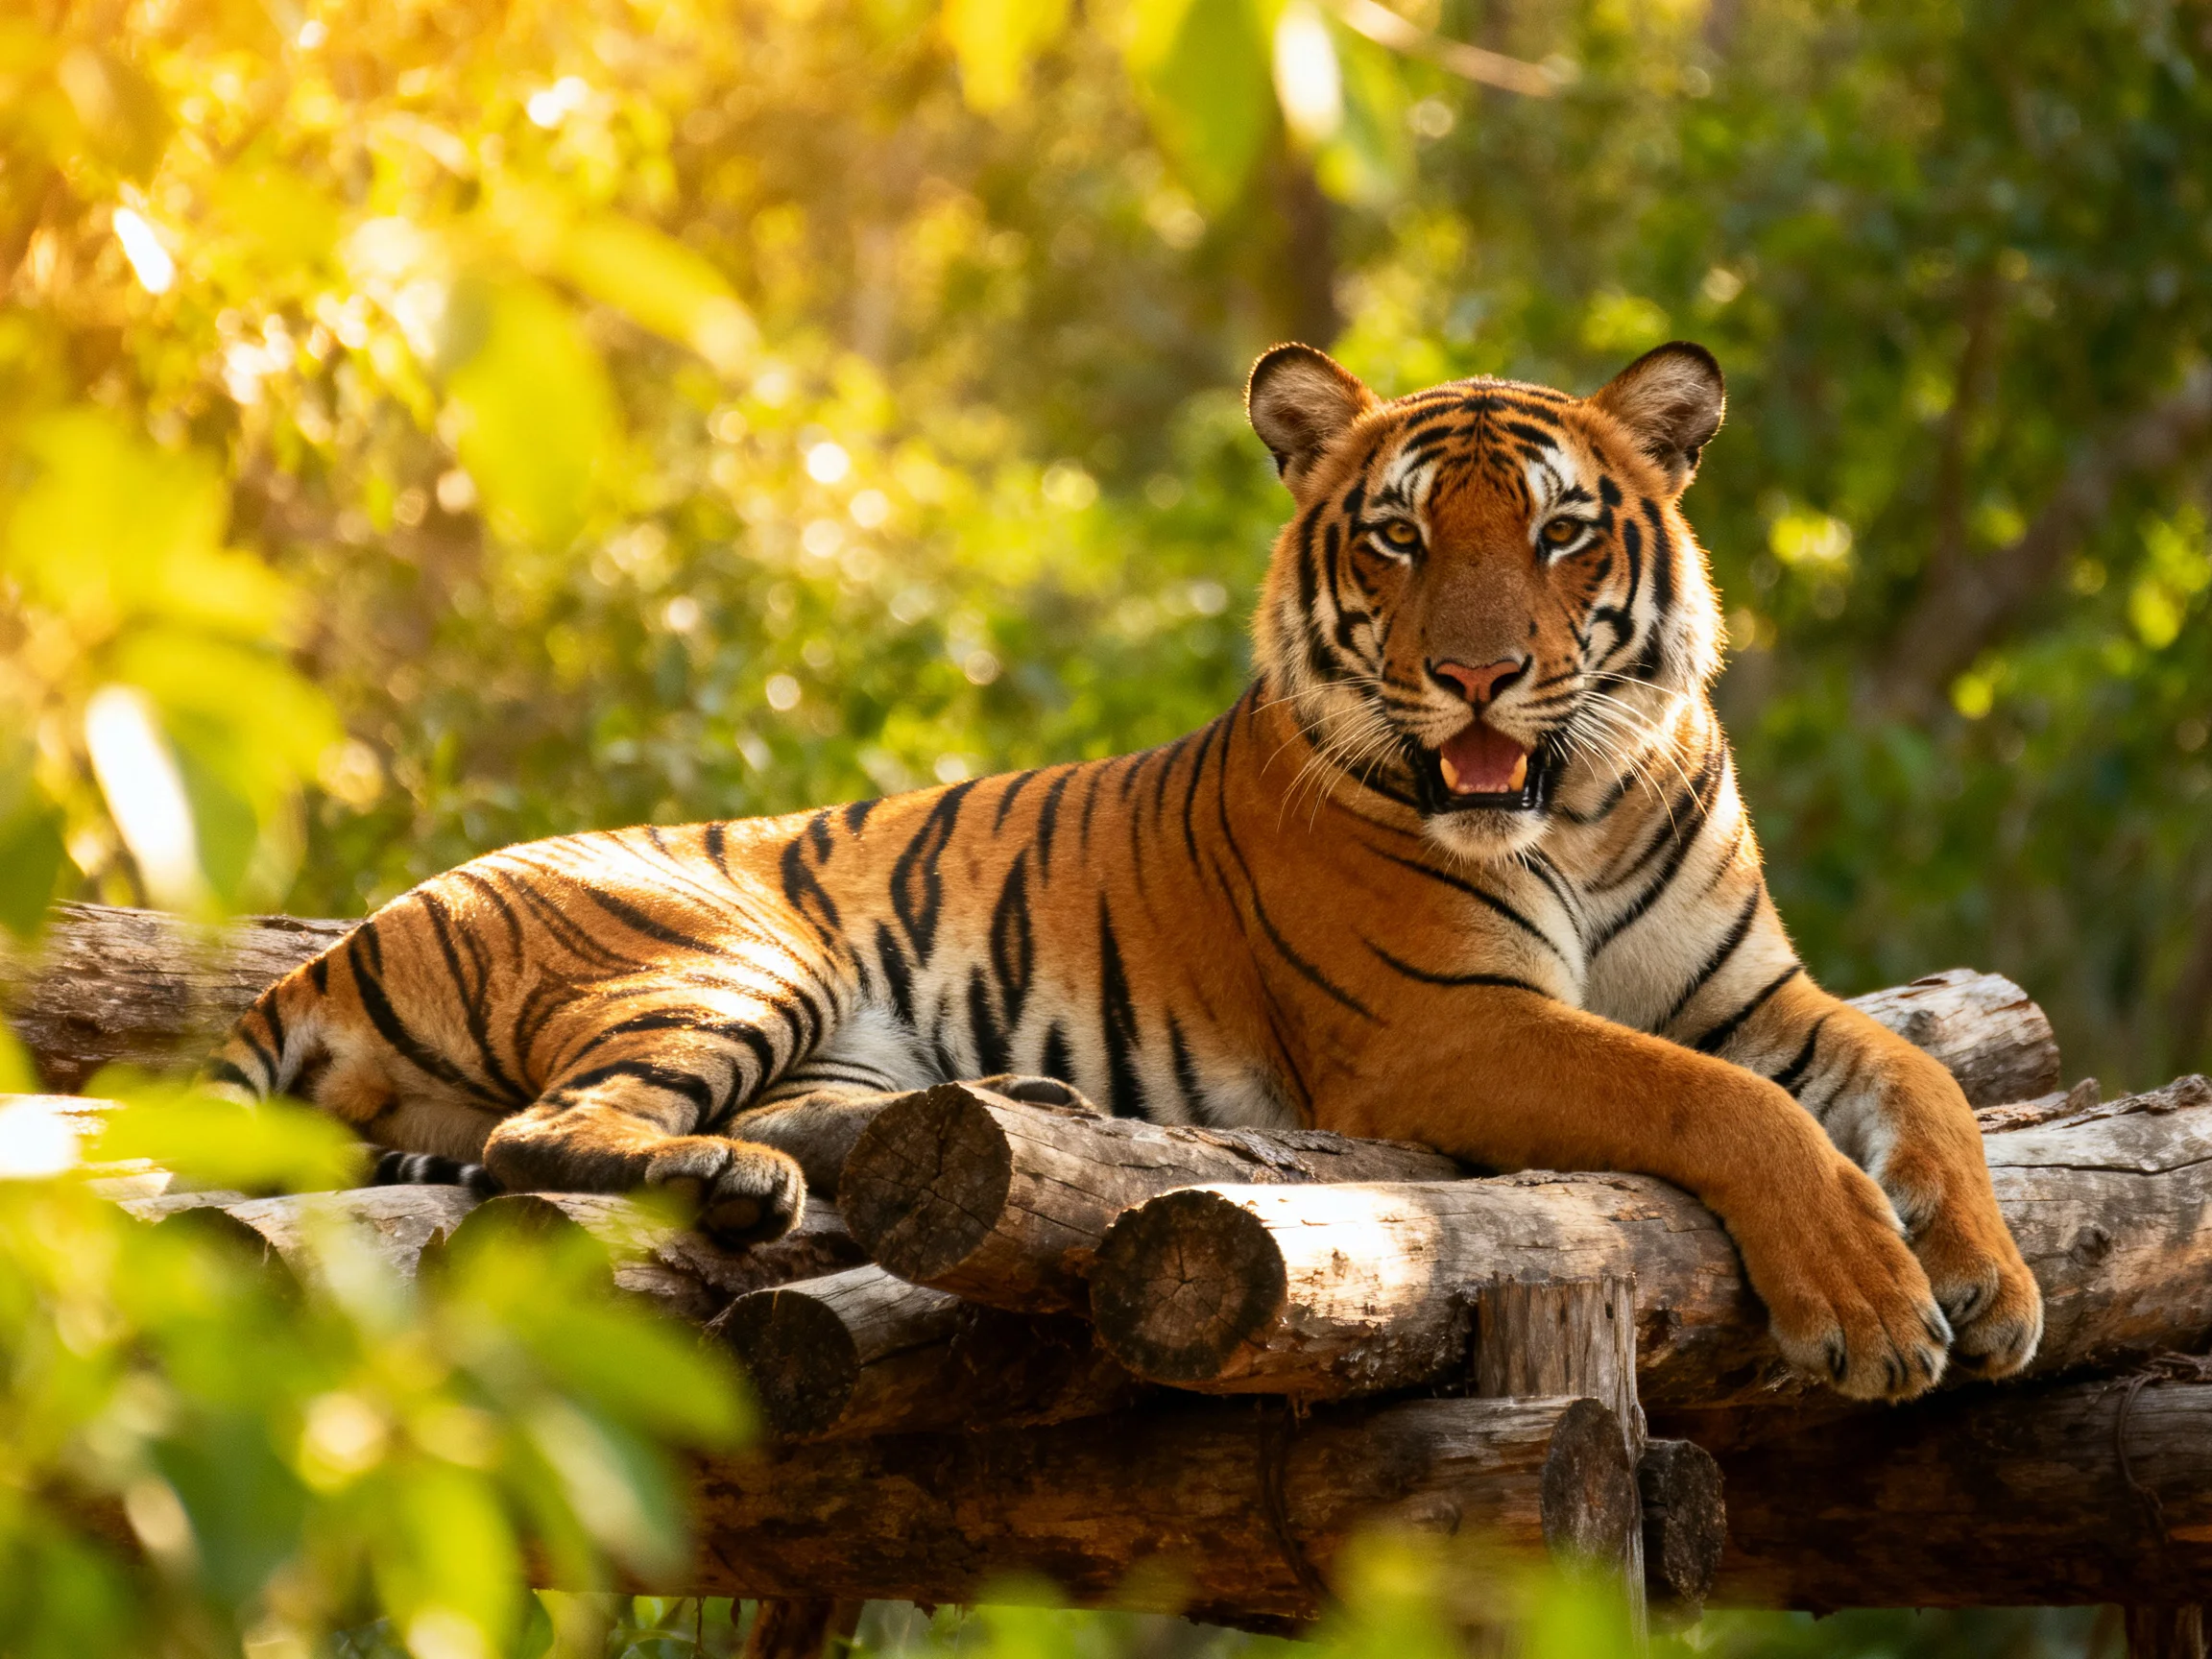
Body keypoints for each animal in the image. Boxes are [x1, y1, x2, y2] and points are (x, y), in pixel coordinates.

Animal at [209, 340, 2042, 1402]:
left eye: (1557, 532)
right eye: (1398, 539)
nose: (1475, 677)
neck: (1575, 803)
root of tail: (335, 945)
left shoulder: (1759, 994)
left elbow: (1913, 1083)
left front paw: (1991, 1279)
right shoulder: (1441, 1027)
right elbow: (1713, 1107)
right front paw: (1870, 1311)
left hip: (830, 1038)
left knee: (757, 1126)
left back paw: (928, 1134)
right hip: (732, 952)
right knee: (544, 1138)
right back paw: (738, 1174)